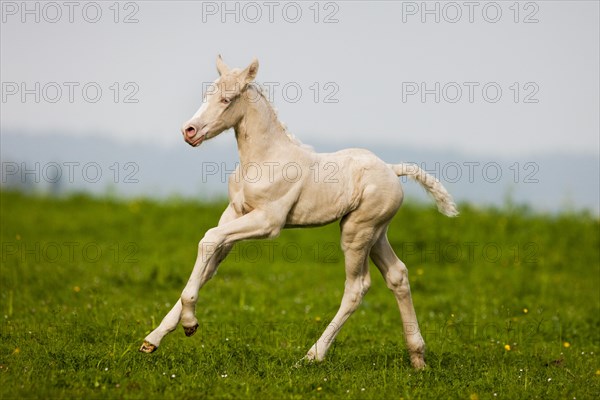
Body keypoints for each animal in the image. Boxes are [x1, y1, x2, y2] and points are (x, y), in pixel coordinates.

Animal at [141, 56, 460, 368]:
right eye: (206, 95)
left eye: (227, 99)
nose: (189, 131)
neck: (264, 159)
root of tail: (392, 170)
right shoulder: (234, 214)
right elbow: (209, 263)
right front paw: (153, 339)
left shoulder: (268, 222)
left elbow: (208, 239)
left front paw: (190, 323)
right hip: (377, 232)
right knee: (398, 275)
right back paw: (417, 358)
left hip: (357, 231)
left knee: (357, 287)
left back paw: (313, 355)